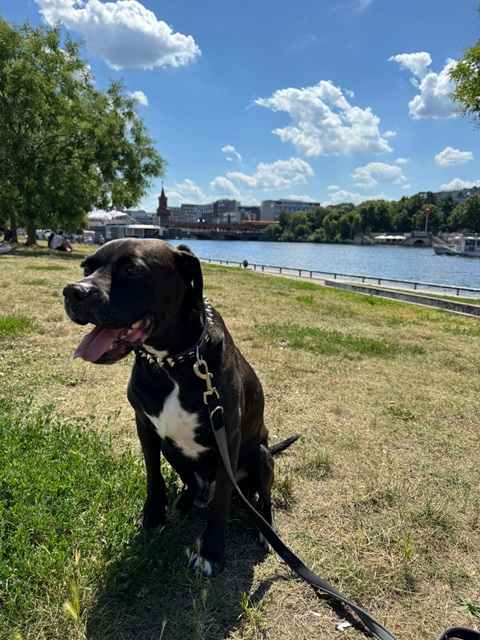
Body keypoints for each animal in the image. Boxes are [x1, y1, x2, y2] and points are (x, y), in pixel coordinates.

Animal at [63, 238, 298, 576]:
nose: (72, 292)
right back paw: (187, 500)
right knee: (192, 482)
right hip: (172, 448)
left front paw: (211, 553)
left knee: (261, 497)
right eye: (86, 268)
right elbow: (153, 476)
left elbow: (221, 504)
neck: (173, 361)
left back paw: (266, 527)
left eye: (132, 270)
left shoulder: (228, 437)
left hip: (261, 455)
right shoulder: (146, 426)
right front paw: (153, 516)